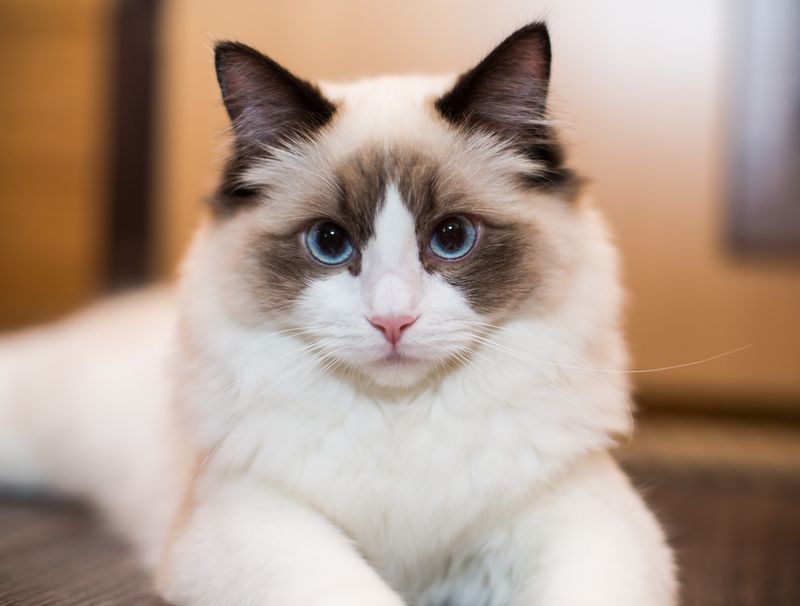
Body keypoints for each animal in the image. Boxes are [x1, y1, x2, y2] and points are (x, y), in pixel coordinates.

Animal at [0, 22, 676, 606]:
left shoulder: (586, 520)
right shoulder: (255, 522)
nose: (392, 321)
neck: (402, 420)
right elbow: (353, 593)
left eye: (452, 237)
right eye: (329, 242)